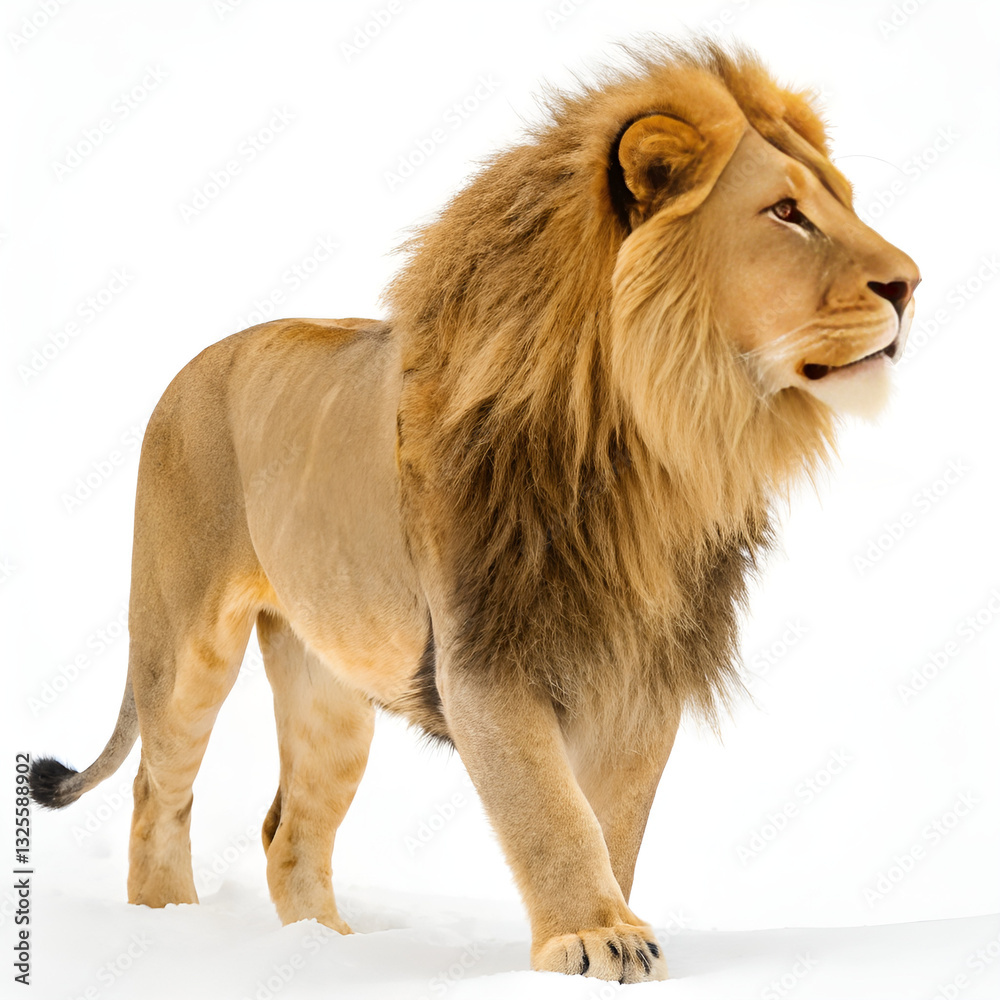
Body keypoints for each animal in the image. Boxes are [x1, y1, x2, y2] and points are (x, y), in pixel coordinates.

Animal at [29, 40, 918, 983]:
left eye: (844, 202)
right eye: (786, 212)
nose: (911, 284)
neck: (656, 440)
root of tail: (190, 364)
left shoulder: (643, 666)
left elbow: (613, 819)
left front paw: (615, 928)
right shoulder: (485, 654)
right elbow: (548, 808)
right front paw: (594, 936)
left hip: (329, 683)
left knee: (289, 832)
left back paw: (325, 953)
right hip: (184, 640)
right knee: (156, 792)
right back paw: (167, 933)